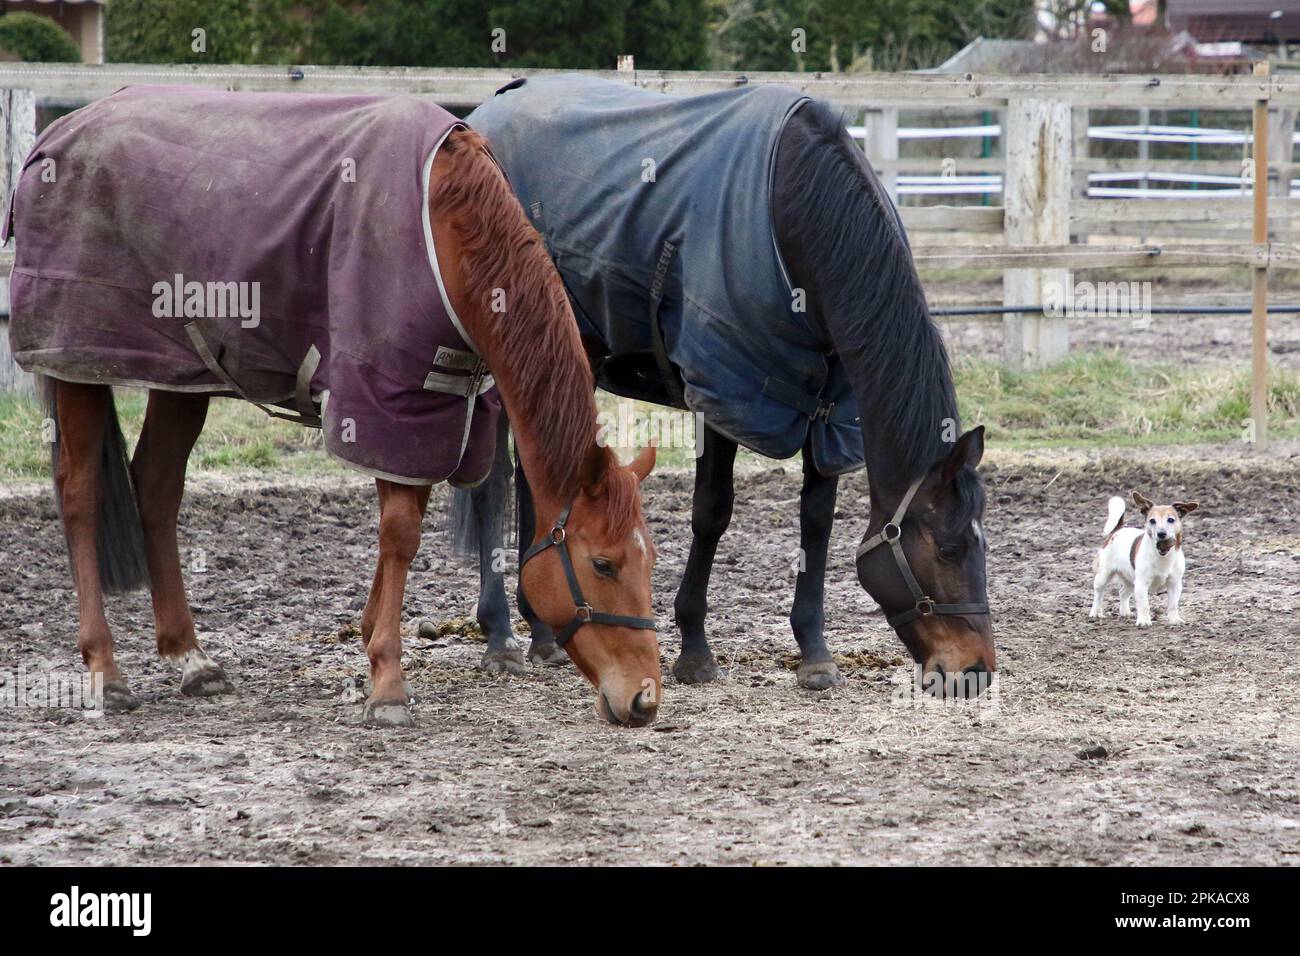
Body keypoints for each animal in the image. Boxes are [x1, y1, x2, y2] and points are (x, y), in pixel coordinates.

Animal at [7, 91, 660, 733]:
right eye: (603, 565)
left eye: (647, 560)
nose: (645, 699)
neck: (446, 223)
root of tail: (55, 137)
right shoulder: (383, 399)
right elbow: (400, 533)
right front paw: (389, 680)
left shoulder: (431, 412)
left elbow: (404, 520)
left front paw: (370, 641)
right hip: (77, 366)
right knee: (81, 493)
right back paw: (105, 666)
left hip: (179, 377)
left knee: (157, 488)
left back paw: (190, 657)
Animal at [452, 80, 987, 697]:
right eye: (949, 548)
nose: (976, 670)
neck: (793, 212)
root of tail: (481, 115)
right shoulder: (724, 392)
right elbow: (712, 511)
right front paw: (694, 648)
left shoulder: (826, 413)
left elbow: (817, 520)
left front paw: (814, 651)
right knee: (491, 483)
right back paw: (500, 636)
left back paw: (540, 630)